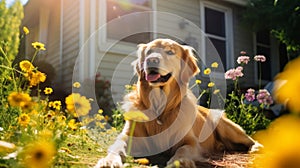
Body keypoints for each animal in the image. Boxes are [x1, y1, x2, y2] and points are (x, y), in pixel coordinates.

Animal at [96, 38, 260, 167]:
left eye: (170, 52)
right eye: (149, 52)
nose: (151, 60)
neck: (160, 108)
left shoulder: (190, 142)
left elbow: (183, 149)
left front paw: (180, 162)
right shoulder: (128, 136)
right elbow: (117, 147)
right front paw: (108, 161)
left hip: (225, 126)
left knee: (249, 139)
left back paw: (256, 148)